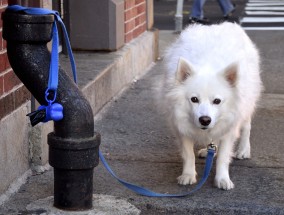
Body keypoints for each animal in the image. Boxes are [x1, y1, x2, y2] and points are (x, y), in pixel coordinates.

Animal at [159, 22, 262, 190]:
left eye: (217, 101)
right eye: (194, 99)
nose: (205, 120)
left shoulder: (229, 128)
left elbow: (223, 158)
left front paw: (222, 179)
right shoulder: (181, 126)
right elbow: (188, 154)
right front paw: (188, 175)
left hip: (247, 103)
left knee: (247, 126)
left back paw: (243, 150)